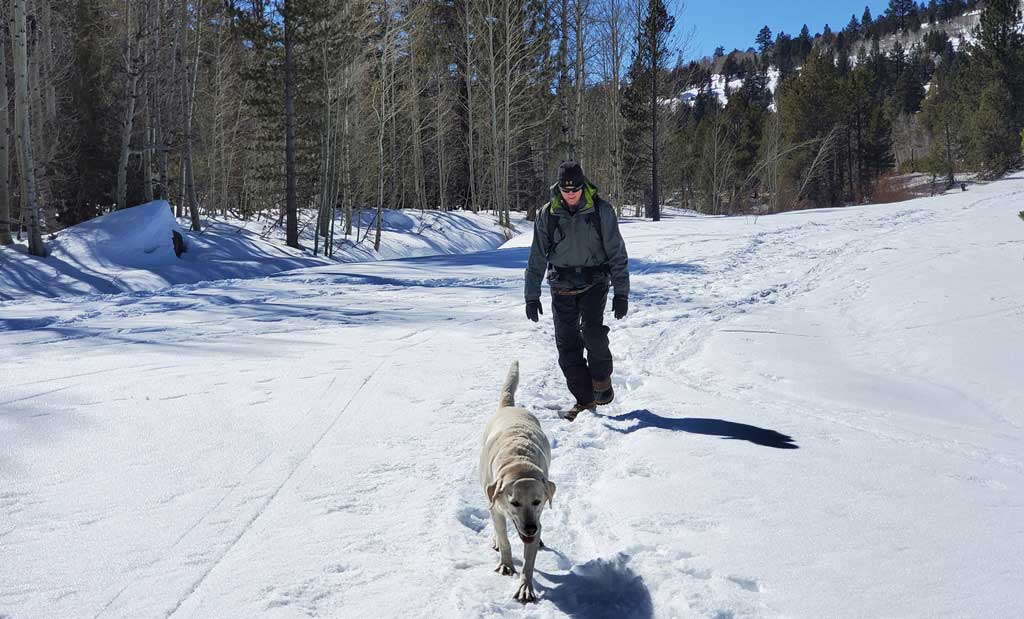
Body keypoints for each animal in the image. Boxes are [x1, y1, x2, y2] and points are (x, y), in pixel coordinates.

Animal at [477, 360, 557, 602]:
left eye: (537, 501)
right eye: (515, 503)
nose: (530, 528)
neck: (518, 464)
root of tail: (509, 406)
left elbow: (529, 564)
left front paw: (525, 587)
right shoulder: (497, 507)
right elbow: (504, 539)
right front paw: (506, 564)